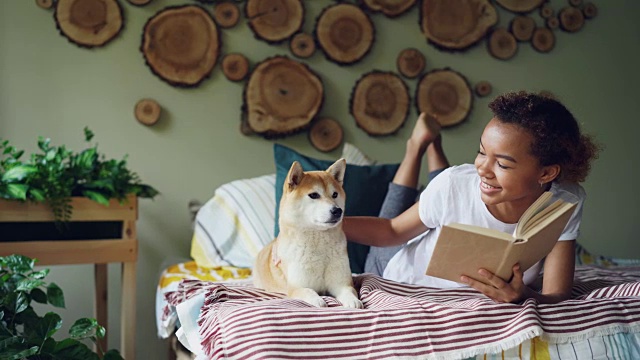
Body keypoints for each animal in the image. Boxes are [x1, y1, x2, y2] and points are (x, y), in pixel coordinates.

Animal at [255, 160, 364, 310]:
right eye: (314, 195)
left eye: (335, 194)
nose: (337, 211)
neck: (319, 244)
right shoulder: (296, 287)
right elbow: (307, 291)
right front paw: (318, 300)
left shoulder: (342, 283)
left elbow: (348, 291)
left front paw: (353, 301)